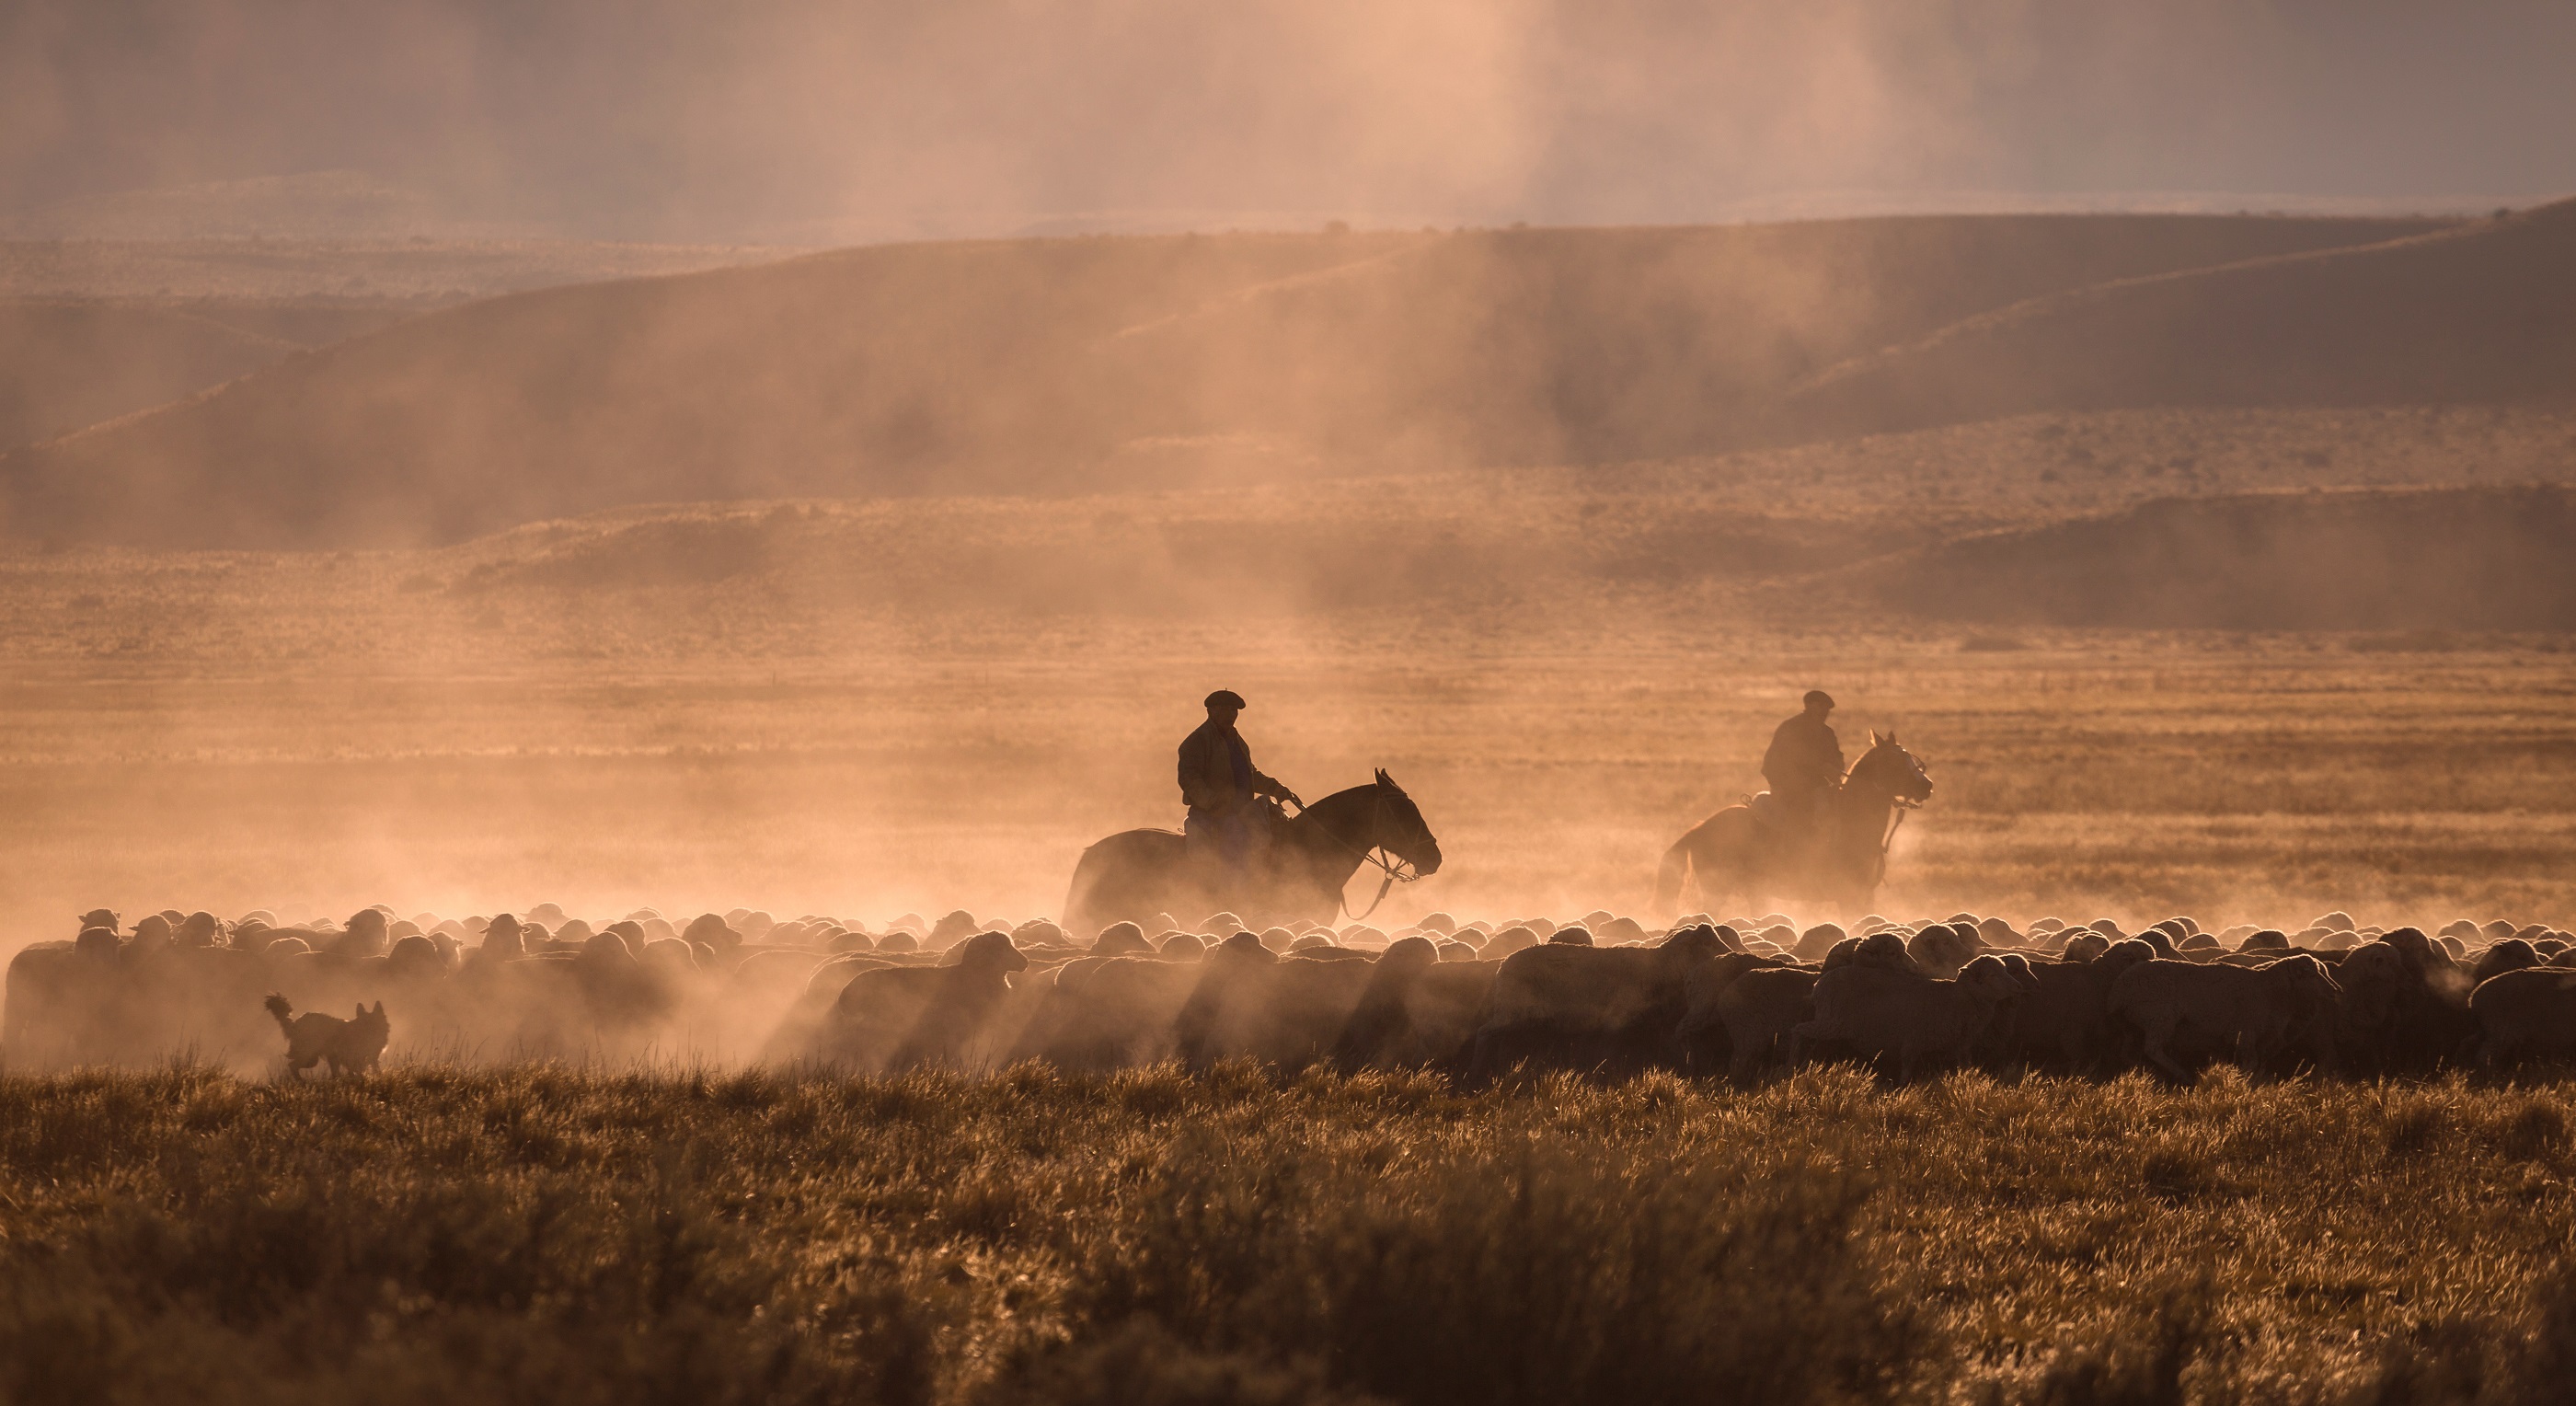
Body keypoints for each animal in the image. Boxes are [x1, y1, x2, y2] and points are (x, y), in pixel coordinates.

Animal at [264, 984, 388, 1071]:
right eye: (365, 1024)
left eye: (375, 1024)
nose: (371, 1034)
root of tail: (296, 1022)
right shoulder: (353, 1060)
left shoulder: (371, 1058)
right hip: (310, 1058)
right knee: (292, 1066)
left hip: (316, 1060)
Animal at [1649, 731, 1937, 916]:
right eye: (1895, 761)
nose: (1927, 785)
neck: (1853, 823)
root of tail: (1701, 827)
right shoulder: (1848, 897)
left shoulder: (1867, 896)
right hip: (1717, 890)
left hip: (1755, 891)